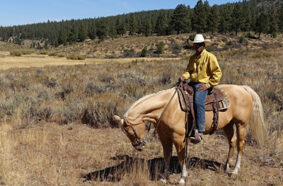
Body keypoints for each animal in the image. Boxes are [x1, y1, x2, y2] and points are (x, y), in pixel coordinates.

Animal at [113, 84, 266, 185]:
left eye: (130, 130)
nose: (138, 146)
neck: (167, 108)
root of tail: (242, 88)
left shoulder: (179, 138)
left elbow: (181, 158)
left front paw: (182, 178)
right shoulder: (165, 138)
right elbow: (167, 156)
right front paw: (164, 177)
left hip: (241, 124)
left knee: (240, 144)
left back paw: (234, 171)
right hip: (228, 124)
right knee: (232, 142)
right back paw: (226, 166)